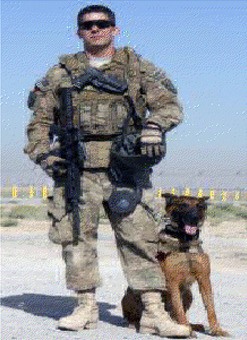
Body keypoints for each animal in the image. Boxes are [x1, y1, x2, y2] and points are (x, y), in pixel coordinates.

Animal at [121, 194, 230, 338]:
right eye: (183, 205)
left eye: (200, 206)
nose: (194, 217)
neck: (185, 242)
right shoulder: (173, 282)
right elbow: (178, 309)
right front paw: (186, 330)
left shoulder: (204, 279)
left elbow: (210, 307)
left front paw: (216, 329)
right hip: (131, 295)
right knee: (139, 316)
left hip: (188, 294)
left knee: (174, 315)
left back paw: (193, 325)